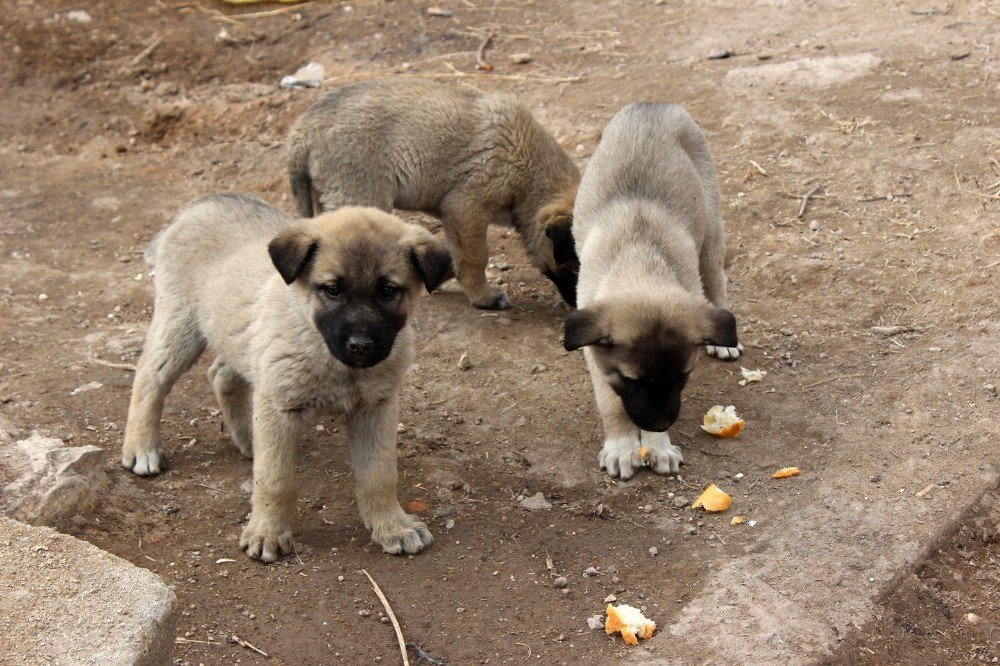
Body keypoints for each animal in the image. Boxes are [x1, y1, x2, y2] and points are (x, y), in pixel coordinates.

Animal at [123, 193, 452, 560]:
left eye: (388, 291)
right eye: (332, 289)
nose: (360, 346)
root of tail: (201, 203)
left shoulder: (376, 407)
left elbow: (379, 475)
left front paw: (392, 526)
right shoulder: (278, 404)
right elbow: (275, 480)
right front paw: (267, 533)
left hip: (240, 340)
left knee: (221, 375)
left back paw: (247, 437)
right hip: (181, 324)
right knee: (150, 377)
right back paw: (142, 447)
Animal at [286, 77, 584, 308]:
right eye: (577, 265)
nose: (576, 305)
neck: (533, 172)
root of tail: (304, 130)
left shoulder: (455, 217)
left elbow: (456, 255)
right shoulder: (466, 207)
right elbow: (475, 257)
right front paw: (483, 297)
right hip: (360, 197)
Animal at [564, 102, 744, 478]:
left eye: (682, 376)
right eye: (631, 379)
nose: (661, 424)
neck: (639, 256)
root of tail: (652, 105)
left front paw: (657, 444)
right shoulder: (596, 355)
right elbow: (610, 403)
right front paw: (622, 446)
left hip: (711, 227)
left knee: (716, 280)